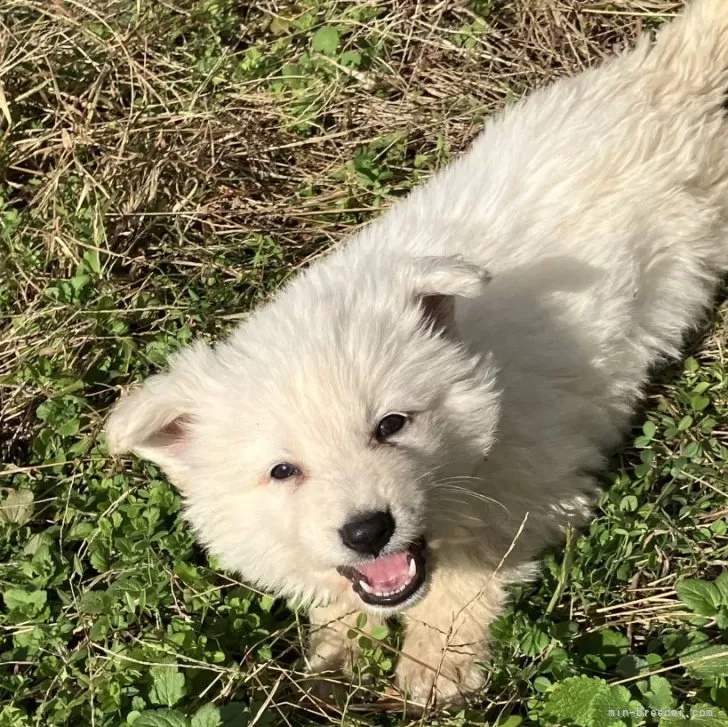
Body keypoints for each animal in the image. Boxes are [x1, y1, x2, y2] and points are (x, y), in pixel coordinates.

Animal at [105, 0, 728, 712]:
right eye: (282, 471)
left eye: (391, 425)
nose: (368, 531)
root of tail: (662, 80)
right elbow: (346, 601)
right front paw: (332, 661)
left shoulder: (528, 481)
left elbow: (464, 578)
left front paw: (435, 666)